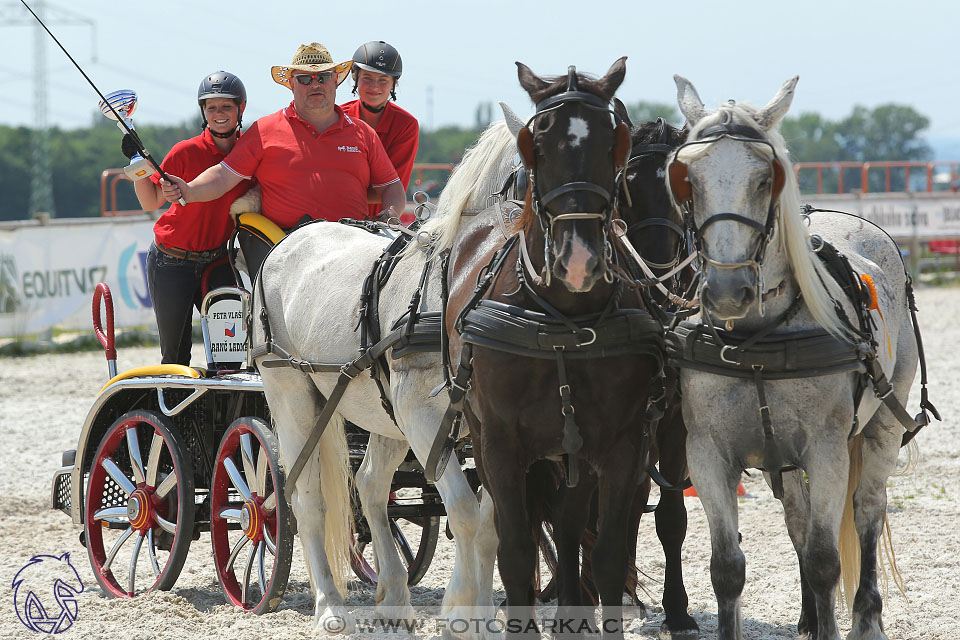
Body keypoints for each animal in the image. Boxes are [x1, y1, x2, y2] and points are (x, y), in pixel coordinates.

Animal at [249, 120, 516, 636]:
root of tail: (287, 243)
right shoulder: (424, 415)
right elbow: (466, 511)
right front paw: (461, 613)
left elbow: (491, 518)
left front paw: (480, 614)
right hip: (292, 394)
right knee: (306, 498)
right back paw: (330, 606)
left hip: (383, 412)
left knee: (370, 484)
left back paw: (392, 595)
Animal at [664, 76, 932, 640]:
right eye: (687, 180)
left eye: (766, 178)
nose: (728, 292)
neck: (755, 340)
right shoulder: (708, 454)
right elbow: (728, 568)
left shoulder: (826, 450)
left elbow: (827, 559)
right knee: (798, 518)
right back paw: (811, 613)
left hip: (882, 423)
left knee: (867, 510)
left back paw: (866, 615)